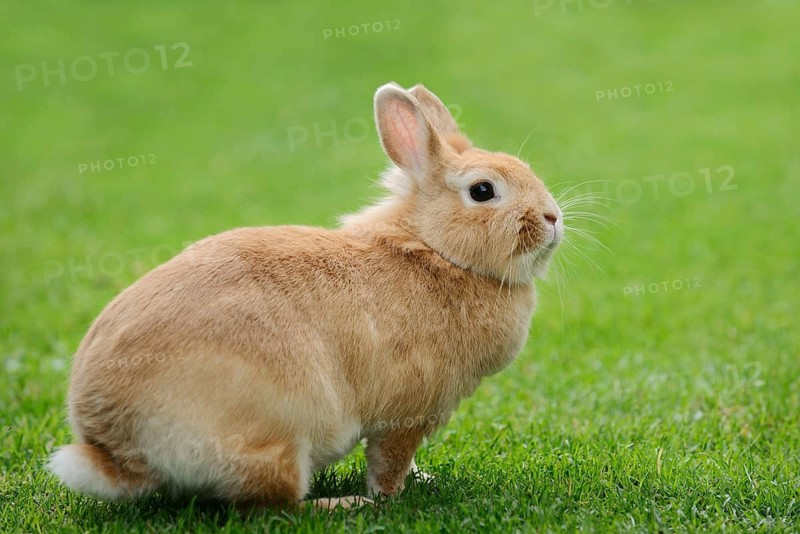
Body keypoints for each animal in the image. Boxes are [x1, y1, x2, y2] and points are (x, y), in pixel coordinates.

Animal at [48, 82, 564, 509]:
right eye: (483, 191)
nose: (553, 218)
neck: (437, 251)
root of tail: (115, 452)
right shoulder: (403, 416)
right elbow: (390, 462)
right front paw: (389, 496)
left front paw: (425, 480)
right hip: (277, 441)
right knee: (274, 505)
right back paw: (341, 505)